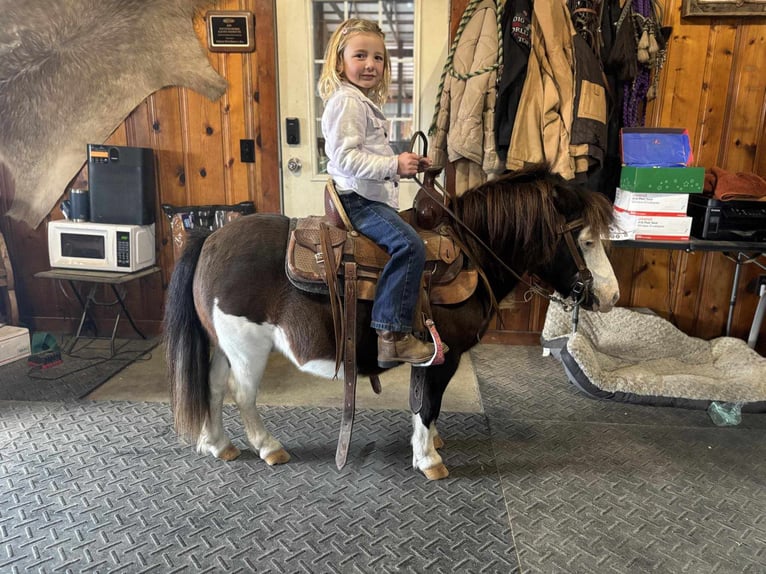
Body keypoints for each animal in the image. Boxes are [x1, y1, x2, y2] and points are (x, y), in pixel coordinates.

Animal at [165, 168, 620, 482]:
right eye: (586, 240)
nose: (611, 297)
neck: (472, 253)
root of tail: (209, 239)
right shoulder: (444, 356)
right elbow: (428, 403)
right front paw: (429, 458)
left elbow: (424, 404)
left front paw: (430, 441)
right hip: (248, 349)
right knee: (241, 394)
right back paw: (267, 447)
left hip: (222, 346)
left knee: (211, 387)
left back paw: (219, 444)